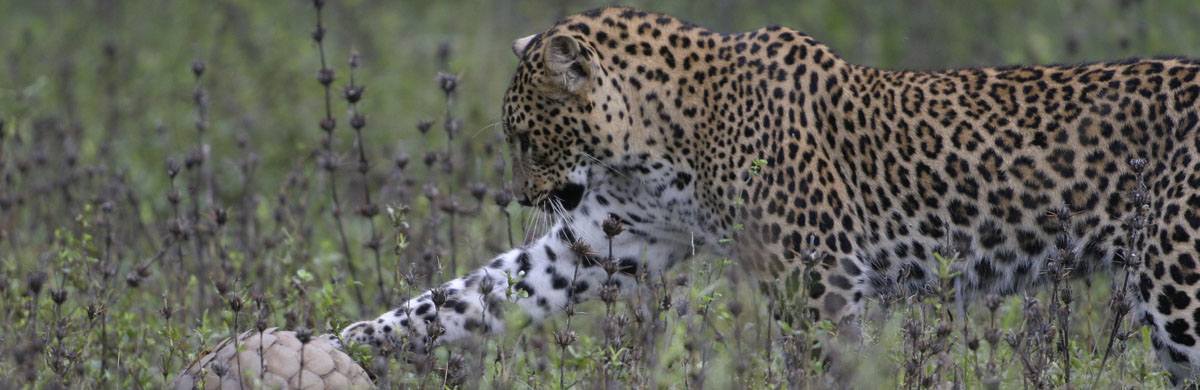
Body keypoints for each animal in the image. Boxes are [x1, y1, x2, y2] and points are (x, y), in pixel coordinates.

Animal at [343, 5, 1200, 381]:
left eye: (524, 137)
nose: (522, 197)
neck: (657, 137)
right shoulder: (602, 239)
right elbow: (469, 295)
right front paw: (342, 343)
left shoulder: (820, 279)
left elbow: (827, 366)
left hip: (1178, 285)